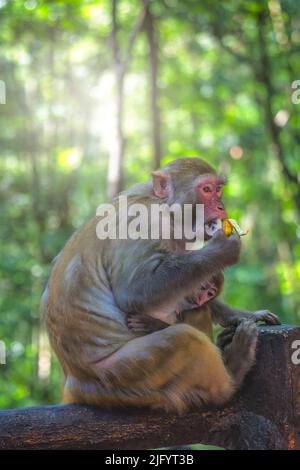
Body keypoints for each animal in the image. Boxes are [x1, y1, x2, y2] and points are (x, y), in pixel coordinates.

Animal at [42, 158, 282, 412]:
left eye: (219, 189)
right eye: (206, 190)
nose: (221, 207)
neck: (163, 206)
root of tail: (76, 385)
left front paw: (243, 314)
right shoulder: (144, 223)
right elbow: (134, 292)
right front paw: (223, 249)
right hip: (121, 377)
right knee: (184, 340)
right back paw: (233, 373)